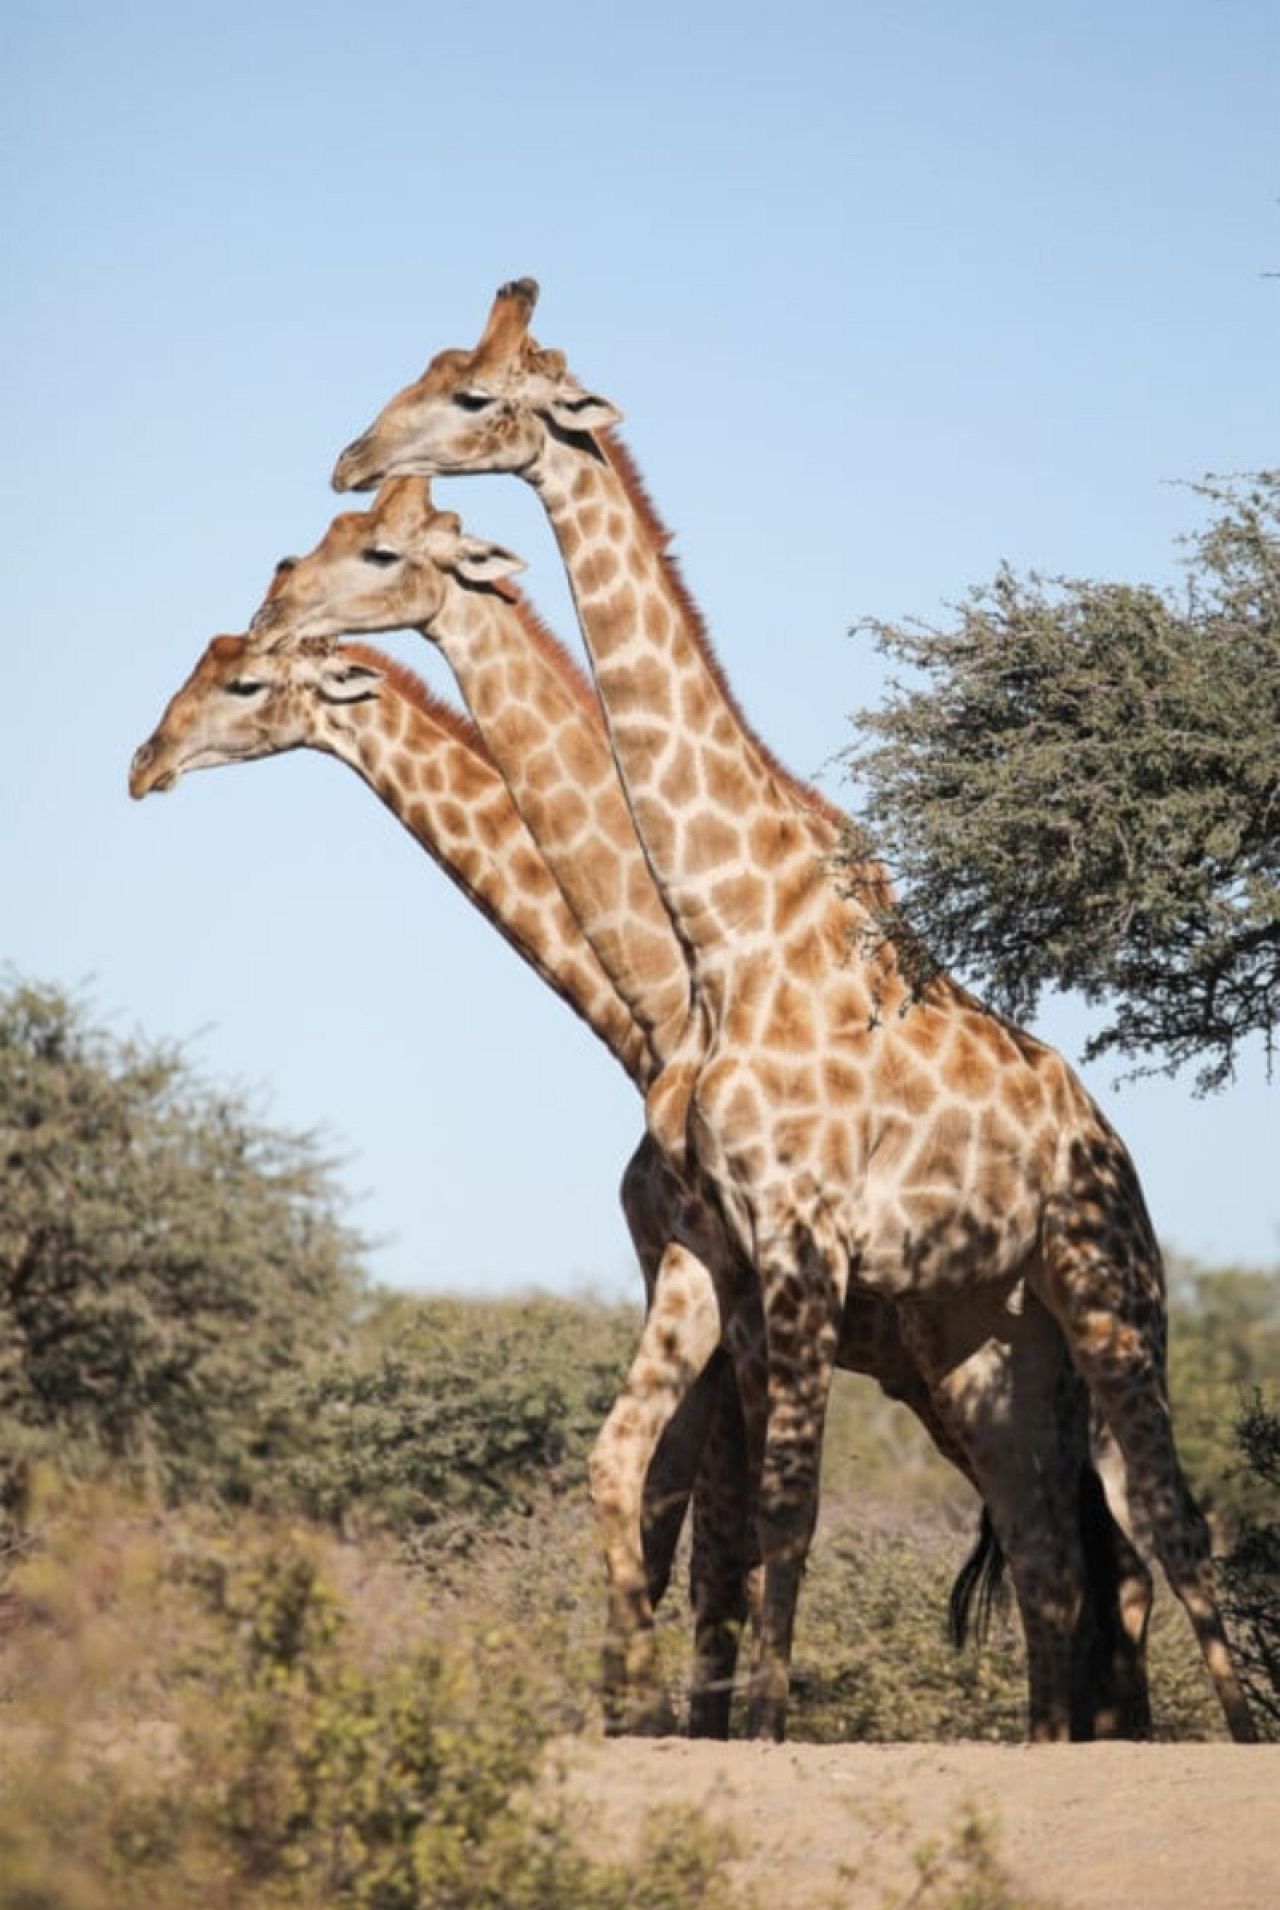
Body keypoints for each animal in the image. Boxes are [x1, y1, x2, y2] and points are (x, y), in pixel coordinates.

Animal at [326, 278, 1260, 1749]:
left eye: (473, 396)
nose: (349, 459)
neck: (729, 939)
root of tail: (1111, 1143)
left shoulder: (800, 1239)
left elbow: (777, 1503)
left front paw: (748, 1720)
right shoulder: (736, 1252)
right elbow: (721, 1503)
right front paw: (696, 1712)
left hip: (1109, 1291)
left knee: (1161, 1516)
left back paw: (1219, 1733)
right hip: (987, 1345)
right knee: (1054, 1543)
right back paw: (1060, 1732)